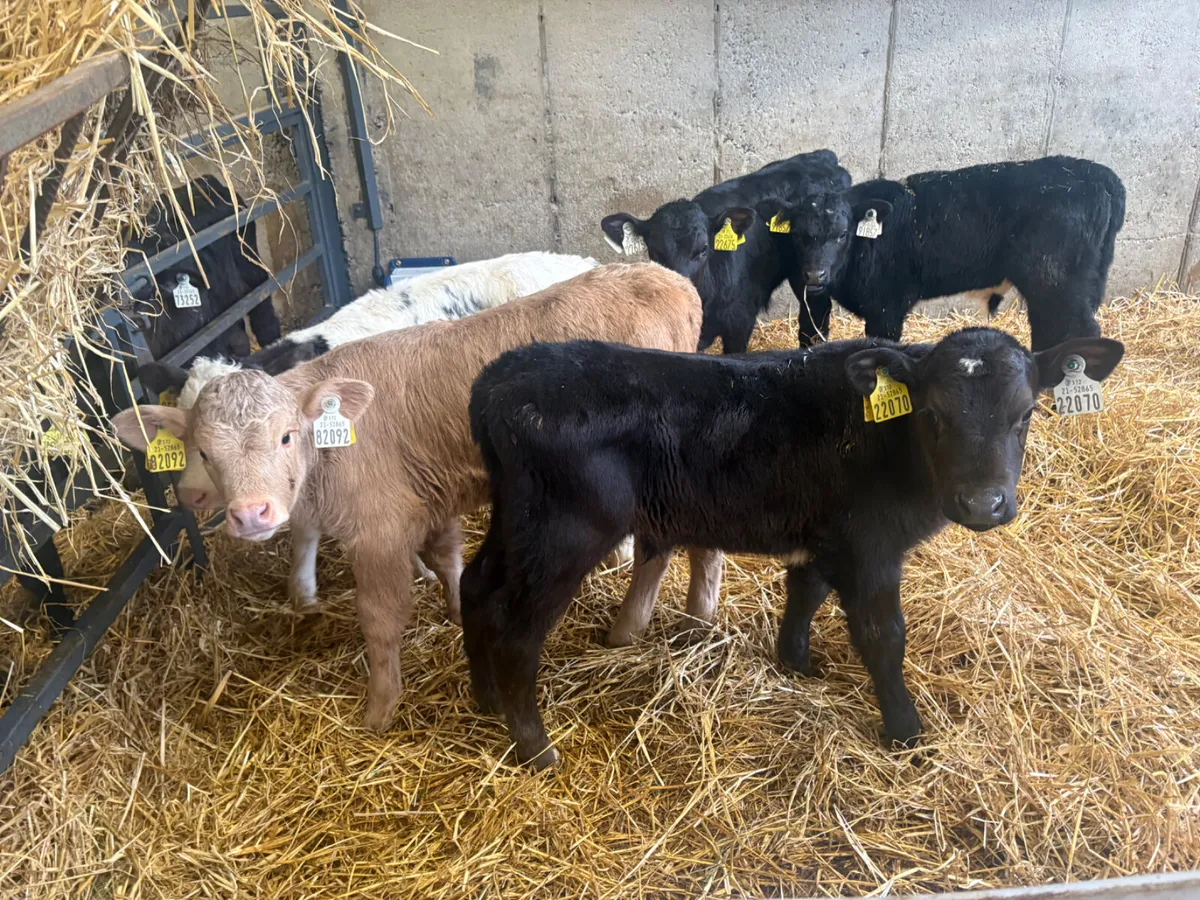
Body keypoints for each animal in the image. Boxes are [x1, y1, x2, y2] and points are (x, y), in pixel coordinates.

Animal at [461, 328, 1125, 768]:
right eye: (934, 414)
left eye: (1026, 413)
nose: (984, 505)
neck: (888, 441)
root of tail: (502, 377)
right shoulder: (870, 545)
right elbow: (882, 635)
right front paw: (905, 731)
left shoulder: (828, 536)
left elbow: (805, 591)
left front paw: (796, 662)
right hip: (564, 531)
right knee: (516, 627)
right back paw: (534, 746)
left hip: (519, 518)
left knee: (475, 583)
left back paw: (485, 698)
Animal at [601, 150, 851, 352]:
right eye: (654, 252)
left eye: (703, 249)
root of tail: (823, 156)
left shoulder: (740, 322)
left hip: (811, 273)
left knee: (814, 317)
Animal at [767, 156, 1126, 351]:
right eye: (797, 235)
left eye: (842, 234)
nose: (815, 274)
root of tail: (1097, 175)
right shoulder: (814, 300)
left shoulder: (887, 307)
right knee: (1051, 328)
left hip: (1056, 280)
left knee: (1077, 330)